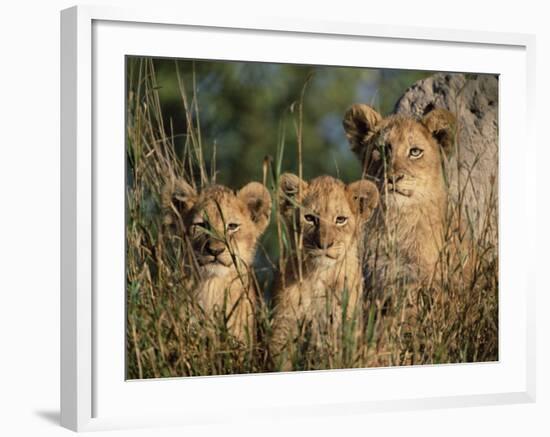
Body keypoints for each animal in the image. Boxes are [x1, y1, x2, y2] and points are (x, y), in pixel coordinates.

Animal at [270, 175, 380, 368]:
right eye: (309, 218)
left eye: (340, 219)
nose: (323, 244)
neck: (318, 277)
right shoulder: (284, 325)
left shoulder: (342, 326)